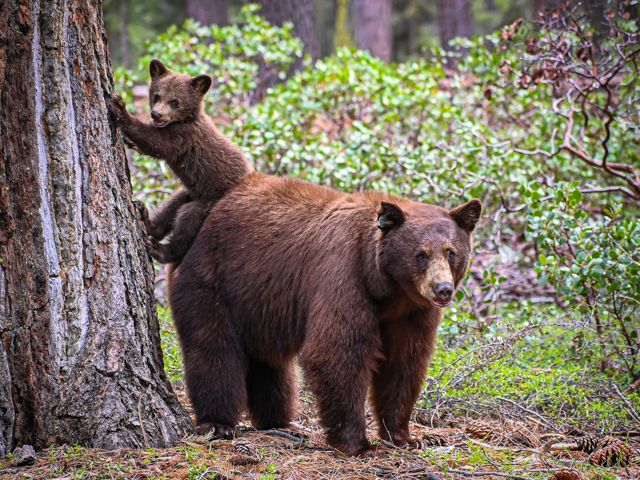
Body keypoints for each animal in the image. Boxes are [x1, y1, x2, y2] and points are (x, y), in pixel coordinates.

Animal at [108, 59, 252, 264]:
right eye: (157, 96)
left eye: (174, 101)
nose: (156, 114)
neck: (186, 120)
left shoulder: (183, 137)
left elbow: (155, 142)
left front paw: (120, 107)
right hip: (191, 191)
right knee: (173, 205)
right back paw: (146, 219)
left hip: (208, 203)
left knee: (188, 220)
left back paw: (160, 249)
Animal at [167, 172, 482, 455]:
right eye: (421, 254)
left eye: (451, 252)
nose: (443, 289)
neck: (387, 289)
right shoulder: (343, 274)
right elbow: (337, 351)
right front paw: (358, 444)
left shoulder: (412, 312)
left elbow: (404, 363)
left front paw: (406, 436)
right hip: (211, 282)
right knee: (214, 350)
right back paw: (218, 423)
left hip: (259, 303)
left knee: (270, 363)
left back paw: (280, 422)